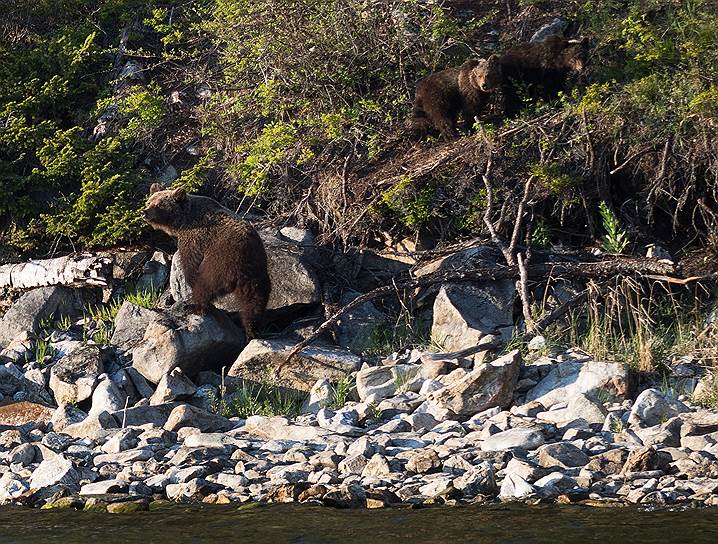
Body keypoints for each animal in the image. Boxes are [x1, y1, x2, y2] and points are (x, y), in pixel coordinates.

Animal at [142, 184, 271, 340]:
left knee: (205, 285)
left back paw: (194, 307)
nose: (144, 212)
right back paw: (251, 330)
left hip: (220, 264)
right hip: (257, 275)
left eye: (159, 204)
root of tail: (242, 268)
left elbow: (191, 263)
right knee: (254, 303)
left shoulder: (195, 237)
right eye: (149, 202)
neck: (183, 221)